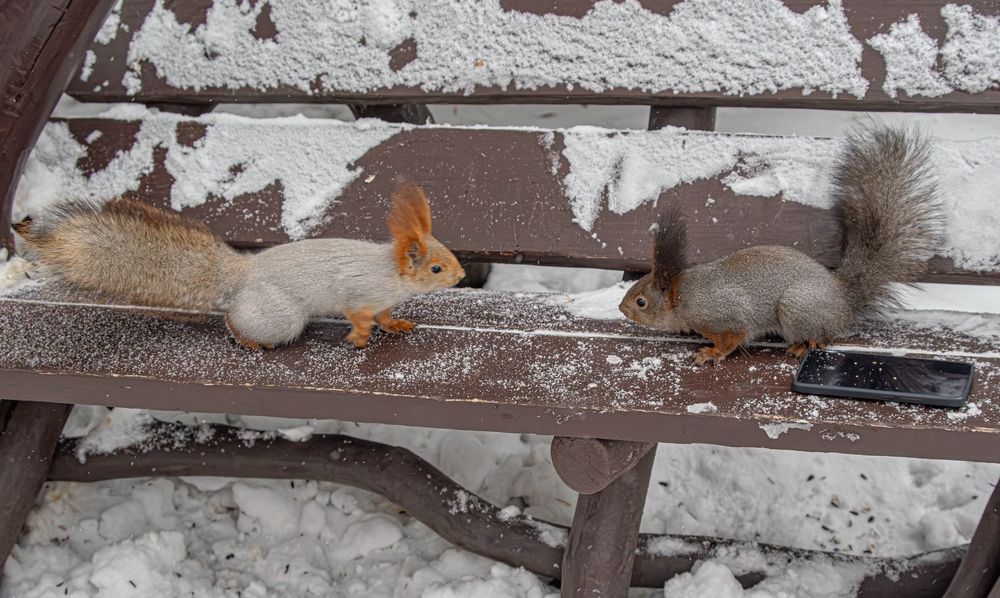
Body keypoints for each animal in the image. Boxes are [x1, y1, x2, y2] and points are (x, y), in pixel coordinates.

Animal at [13, 184, 465, 349]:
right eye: (436, 269)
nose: (462, 276)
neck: (391, 274)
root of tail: (242, 275)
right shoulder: (358, 293)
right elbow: (359, 316)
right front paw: (359, 337)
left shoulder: (383, 299)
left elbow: (386, 316)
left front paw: (396, 325)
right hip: (279, 317)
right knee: (236, 322)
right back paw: (249, 342)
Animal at [619, 123, 943, 366]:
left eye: (641, 302)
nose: (621, 308)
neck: (685, 296)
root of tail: (843, 300)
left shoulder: (727, 315)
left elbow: (734, 338)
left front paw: (712, 353)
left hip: (796, 307)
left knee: (822, 336)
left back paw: (802, 345)